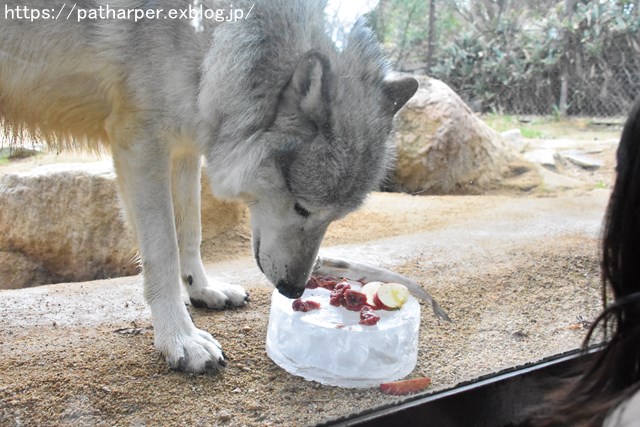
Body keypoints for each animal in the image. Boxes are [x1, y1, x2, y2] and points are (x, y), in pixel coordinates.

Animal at [0, 0, 418, 374]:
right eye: (302, 207)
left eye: (333, 218)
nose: (294, 290)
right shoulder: (141, 145)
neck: (211, 36)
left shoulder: (184, 147)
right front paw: (180, 340)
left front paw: (202, 290)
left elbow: (191, 233)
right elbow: (163, 251)